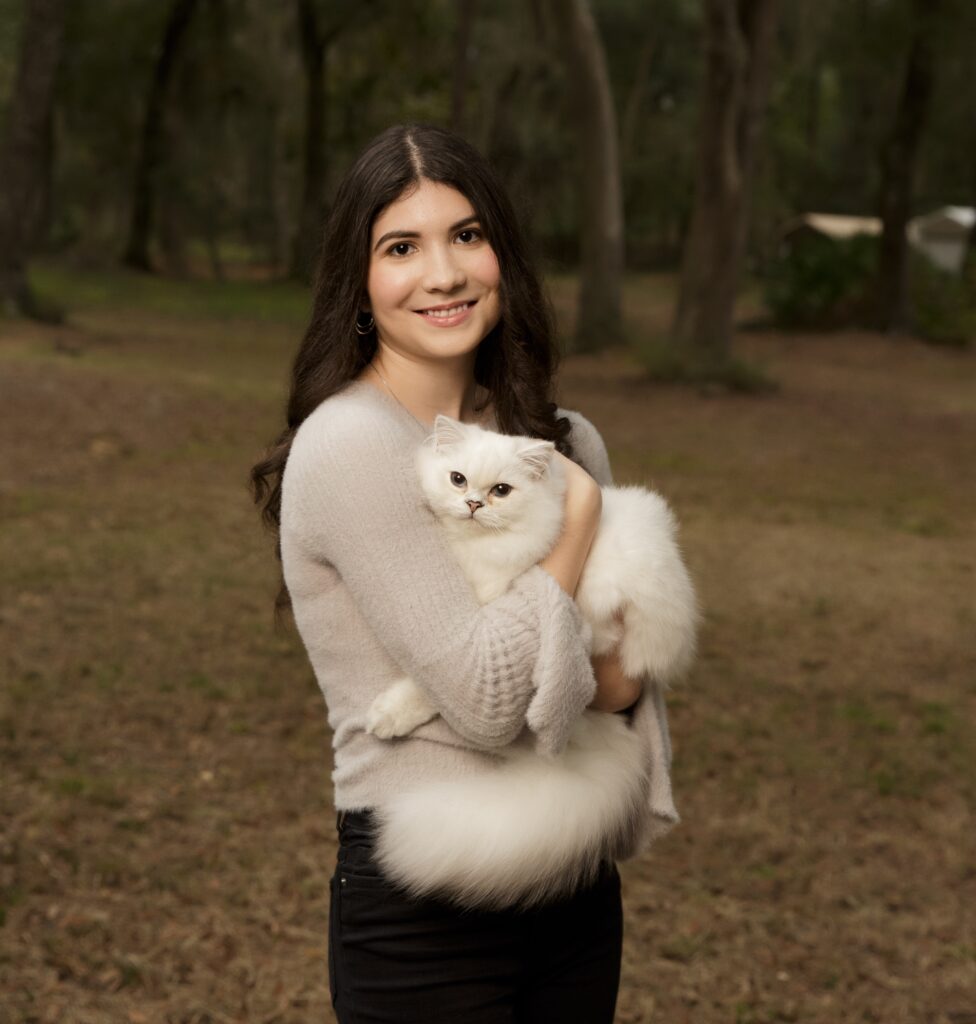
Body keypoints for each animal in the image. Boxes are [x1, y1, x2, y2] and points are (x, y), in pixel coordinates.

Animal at [362, 411, 696, 909]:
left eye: (501, 491)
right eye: (458, 479)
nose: (474, 504)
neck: (474, 551)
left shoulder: (486, 625)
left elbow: (423, 688)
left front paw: (387, 718)